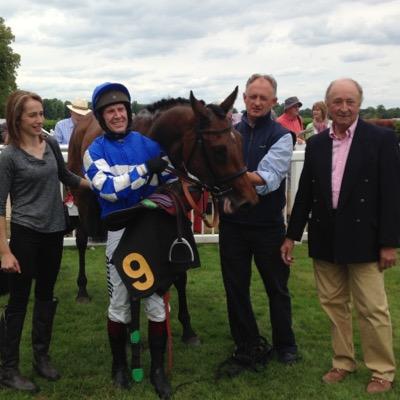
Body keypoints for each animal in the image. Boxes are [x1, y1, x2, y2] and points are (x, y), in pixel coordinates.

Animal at [67, 87, 258, 344]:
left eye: (239, 140)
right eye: (219, 150)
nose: (248, 201)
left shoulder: (173, 214)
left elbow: (179, 273)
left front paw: (187, 328)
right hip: (82, 197)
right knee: (80, 238)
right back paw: (82, 289)